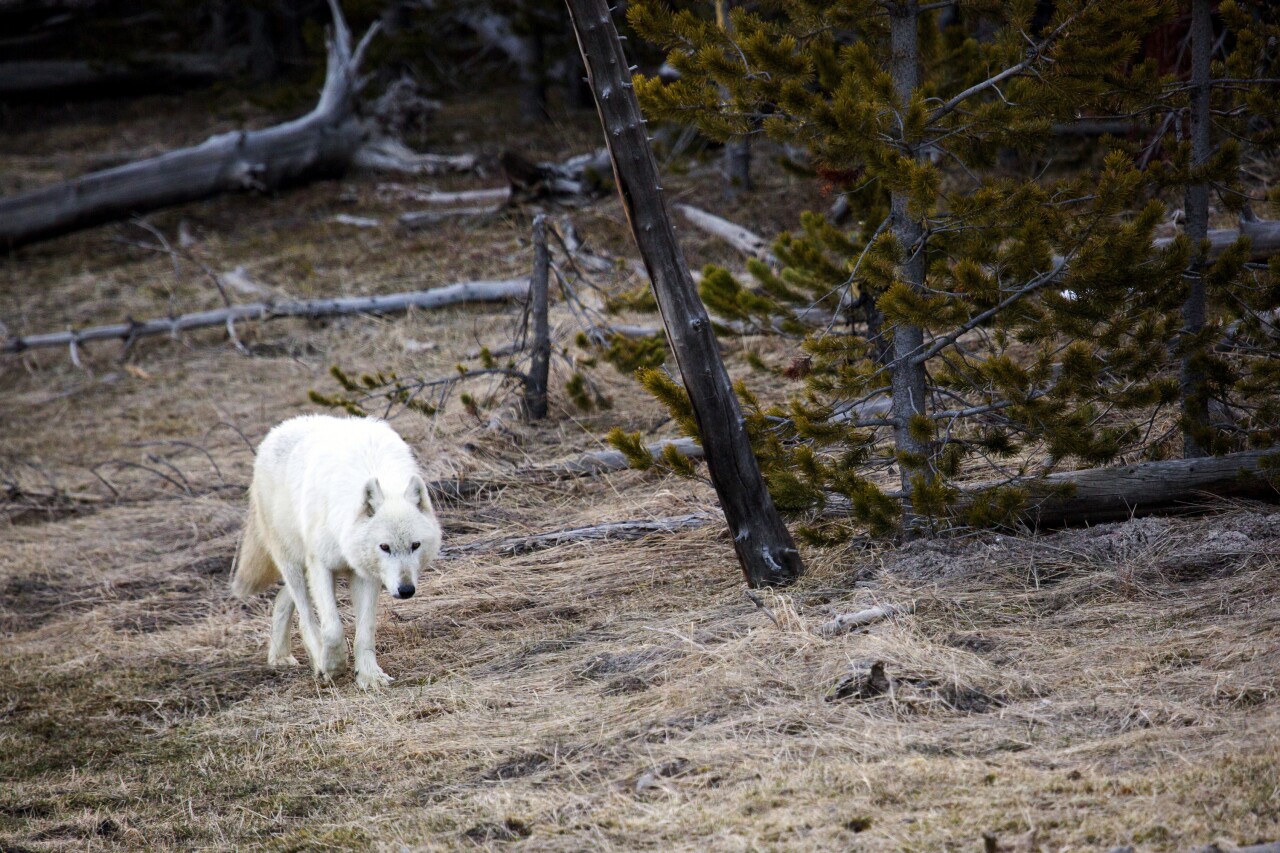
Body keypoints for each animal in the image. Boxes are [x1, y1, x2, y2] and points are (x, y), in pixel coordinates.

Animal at [232, 414, 442, 686]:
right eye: (385, 547)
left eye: (415, 546)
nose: (406, 590)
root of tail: (278, 429)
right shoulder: (321, 566)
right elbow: (332, 628)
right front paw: (333, 666)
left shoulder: (366, 573)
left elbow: (365, 631)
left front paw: (369, 676)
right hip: (294, 562)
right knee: (305, 616)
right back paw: (313, 661)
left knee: (282, 598)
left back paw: (279, 656)